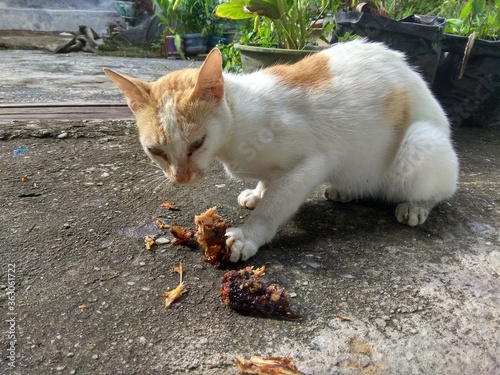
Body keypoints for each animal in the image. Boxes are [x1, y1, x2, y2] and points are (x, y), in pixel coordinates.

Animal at [103, 38, 458, 262]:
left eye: (196, 143)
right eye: (156, 151)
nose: (180, 178)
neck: (236, 126)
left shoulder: (312, 161)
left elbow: (274, 206)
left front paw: (248, 235)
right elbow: (268, 182)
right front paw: (258, 191)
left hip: (421, 142)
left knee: (440, 189)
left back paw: (415, 206)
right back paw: (344, 191)